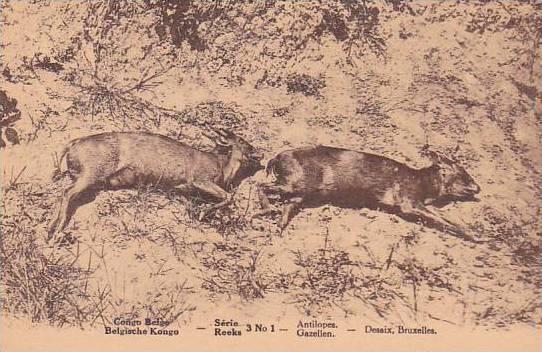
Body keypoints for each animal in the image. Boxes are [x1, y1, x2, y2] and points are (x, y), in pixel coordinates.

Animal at [47, 129, 264, 242]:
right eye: (243, 141)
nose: (260, 153)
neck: (222, 166)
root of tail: (73, 143)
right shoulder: (200, 179)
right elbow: (228, 197)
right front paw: (205, 213)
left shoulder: (181, 190)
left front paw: (200, 213)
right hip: (92, 172)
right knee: (67, 193)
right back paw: (56, 230)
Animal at [255, 145, 484, 242]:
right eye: (463, 174)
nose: (478, 188)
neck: (422, 183)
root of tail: (276, 158)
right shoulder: (408, 201)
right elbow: (442, 219)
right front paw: (477, 237)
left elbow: (450, 218)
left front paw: (477, 234)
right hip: (295, 185)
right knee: (260, 185)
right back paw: (264, 211)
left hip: (301, 190)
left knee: (286, 205)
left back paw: (277, 227)